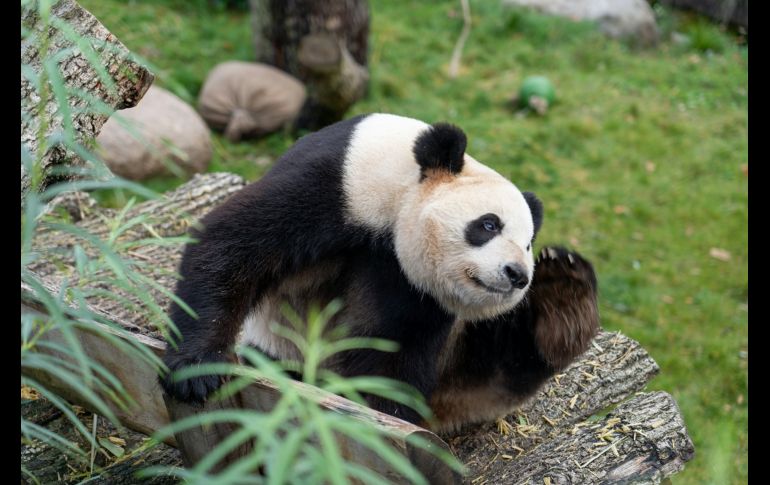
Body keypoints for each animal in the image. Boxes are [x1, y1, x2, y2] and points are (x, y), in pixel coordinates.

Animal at [161, 113, 599, 433]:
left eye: (527, 244)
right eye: (489, 224)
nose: (517, 274)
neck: (400, 195)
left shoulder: (417, 291)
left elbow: (393, 352)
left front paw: (381, 419)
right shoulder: (338, 184)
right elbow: (234, 242)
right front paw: (196, 372)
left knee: (501, 360)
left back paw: (564, 291)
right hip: (277, 343)